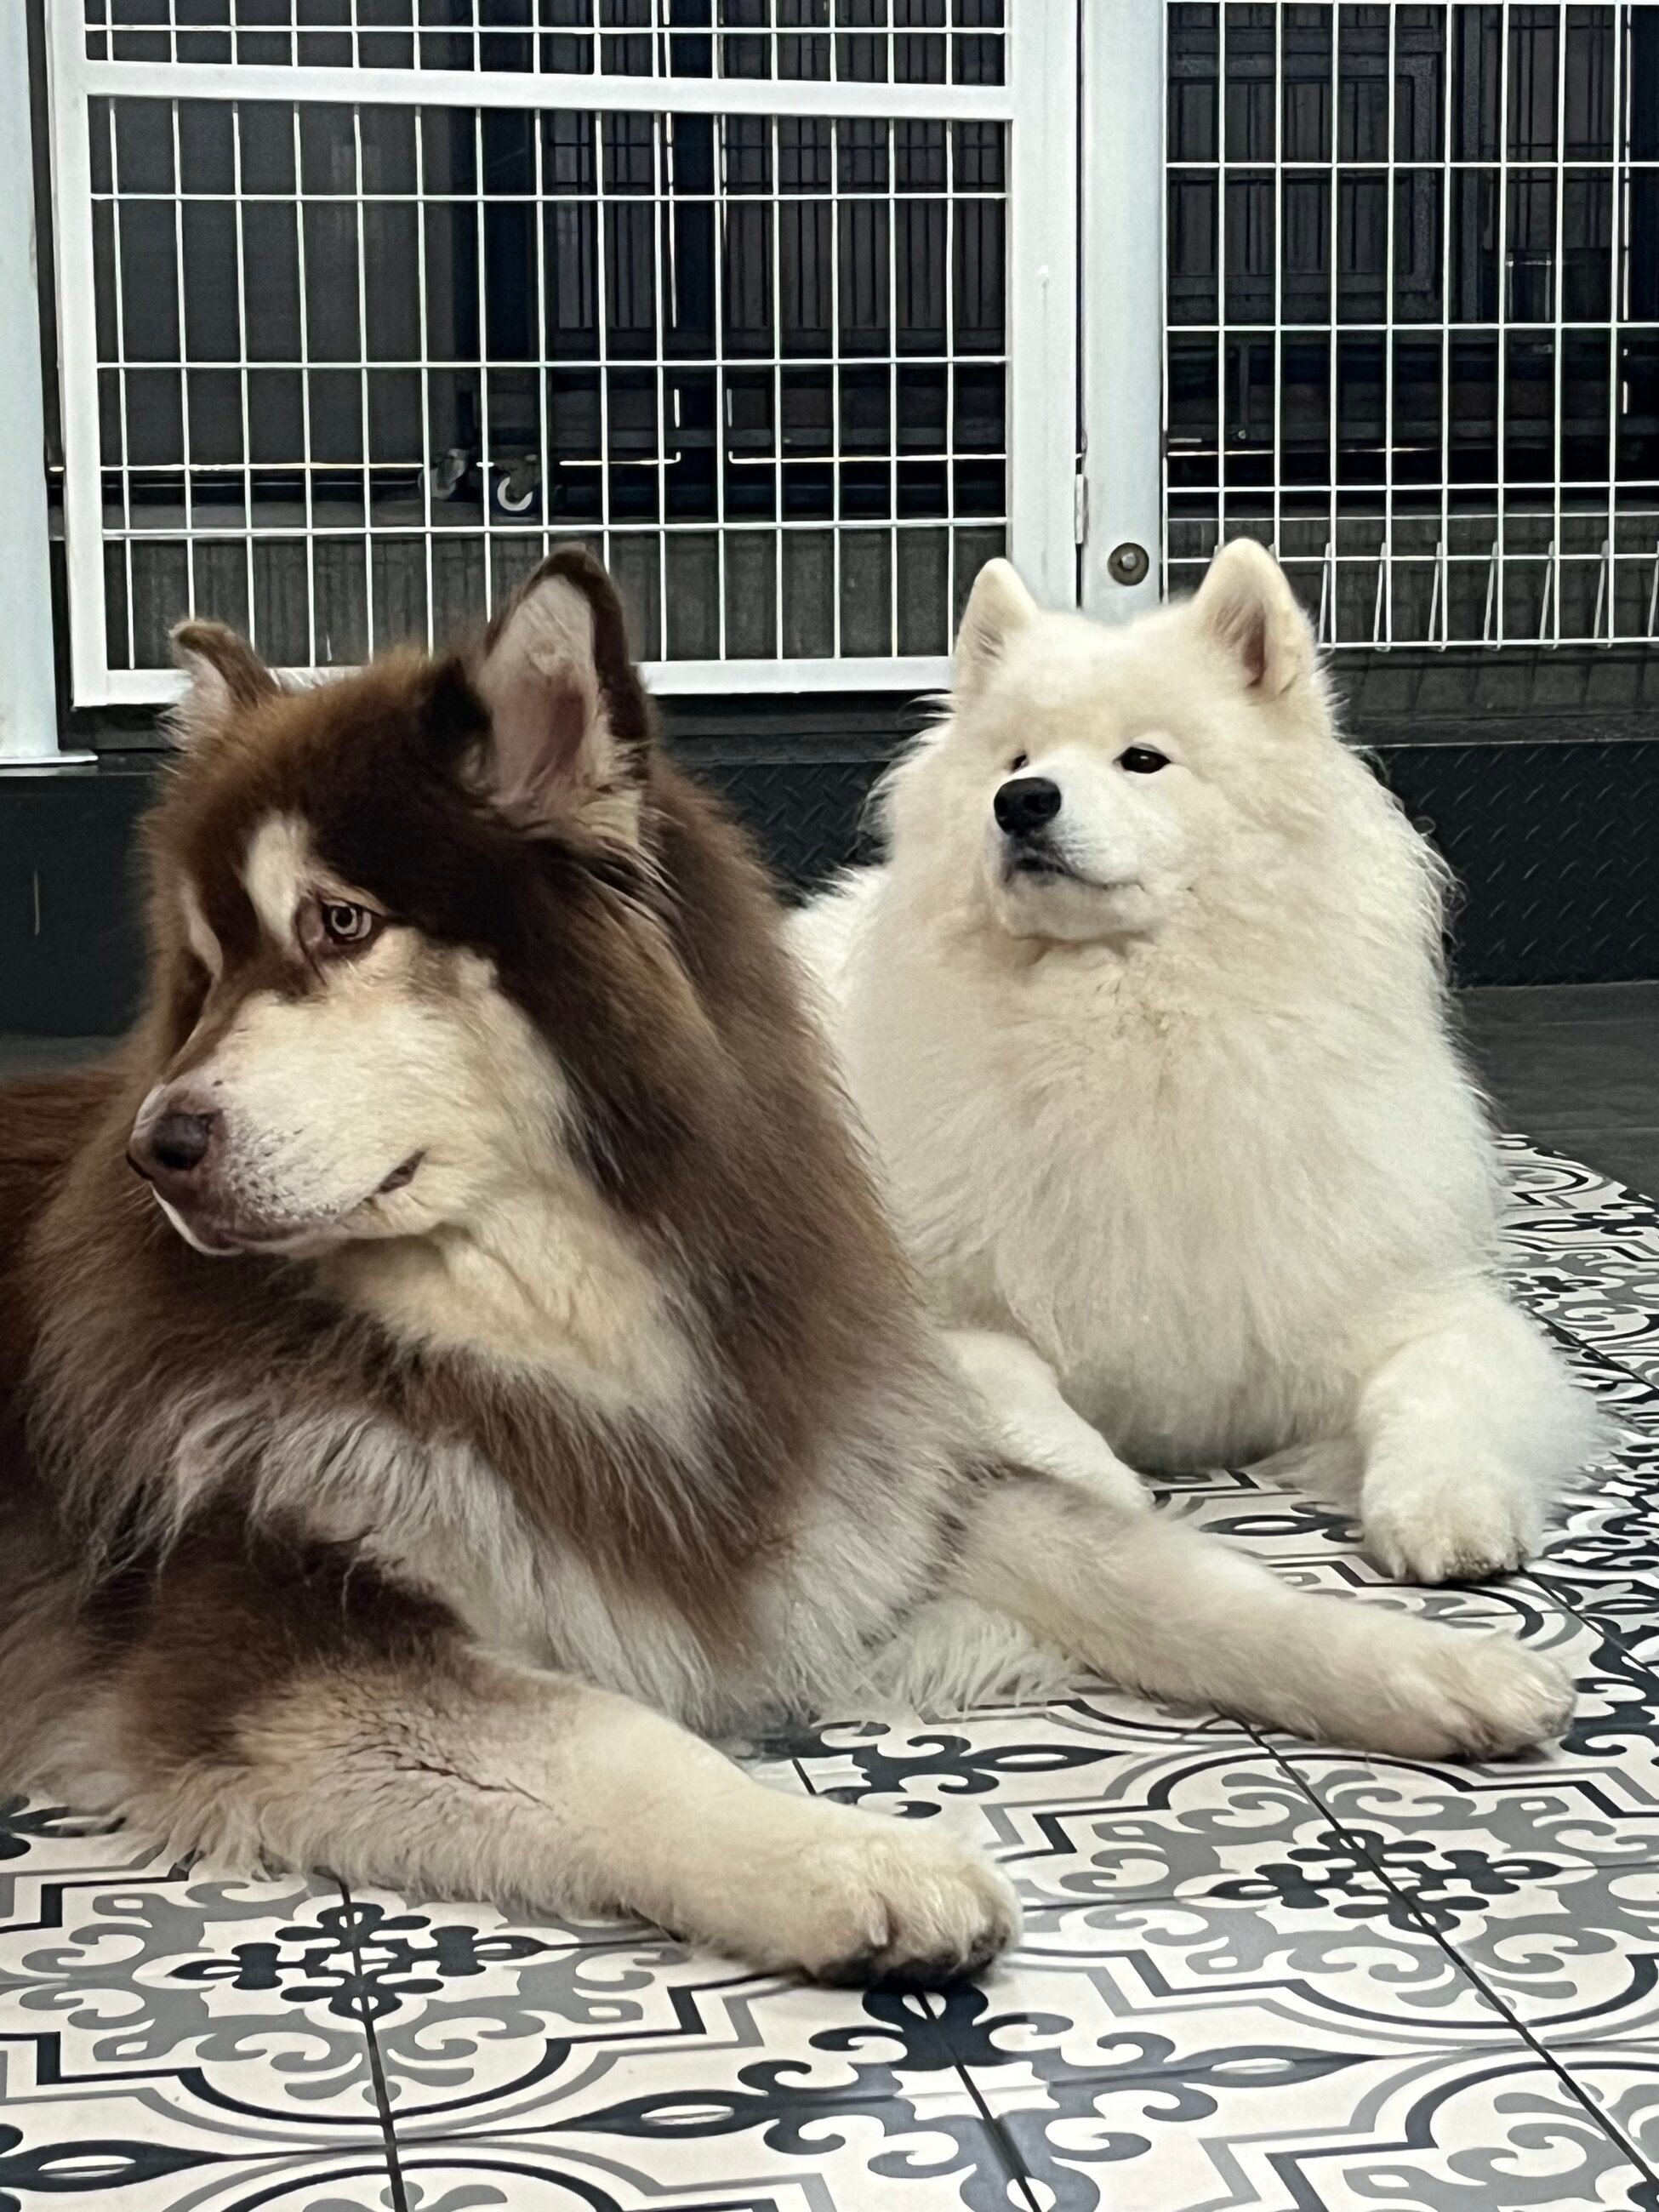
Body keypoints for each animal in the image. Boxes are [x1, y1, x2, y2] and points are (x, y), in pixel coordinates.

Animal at [801, 537, 1601, 1583]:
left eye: (1143, 759)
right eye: (1015, 759)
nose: (1020, 802)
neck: (1131, 1034)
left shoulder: (1405, 1301)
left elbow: (1437, 1392)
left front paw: (1448, 1513)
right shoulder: (923, 1306)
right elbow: (1008, 1381)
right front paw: (1091, 1493)